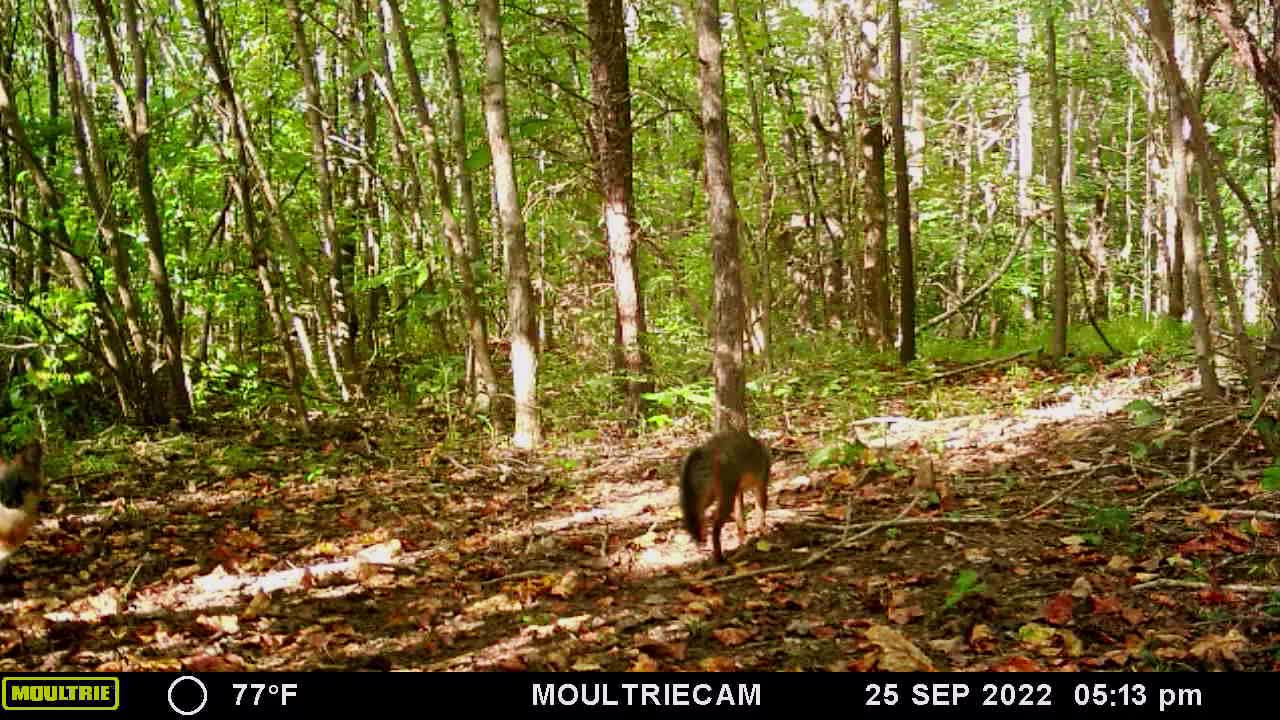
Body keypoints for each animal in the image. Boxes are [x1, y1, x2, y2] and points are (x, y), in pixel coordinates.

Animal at [680, 425, 768, 561]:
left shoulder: (738, 491)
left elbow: (740, 519)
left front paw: (743, 540)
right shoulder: (759, 485)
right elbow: (760, 513)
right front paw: (760, 534)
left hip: (710, 497)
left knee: (697, 516)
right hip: (725, 498)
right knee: (715, 528)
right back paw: (719, 556)